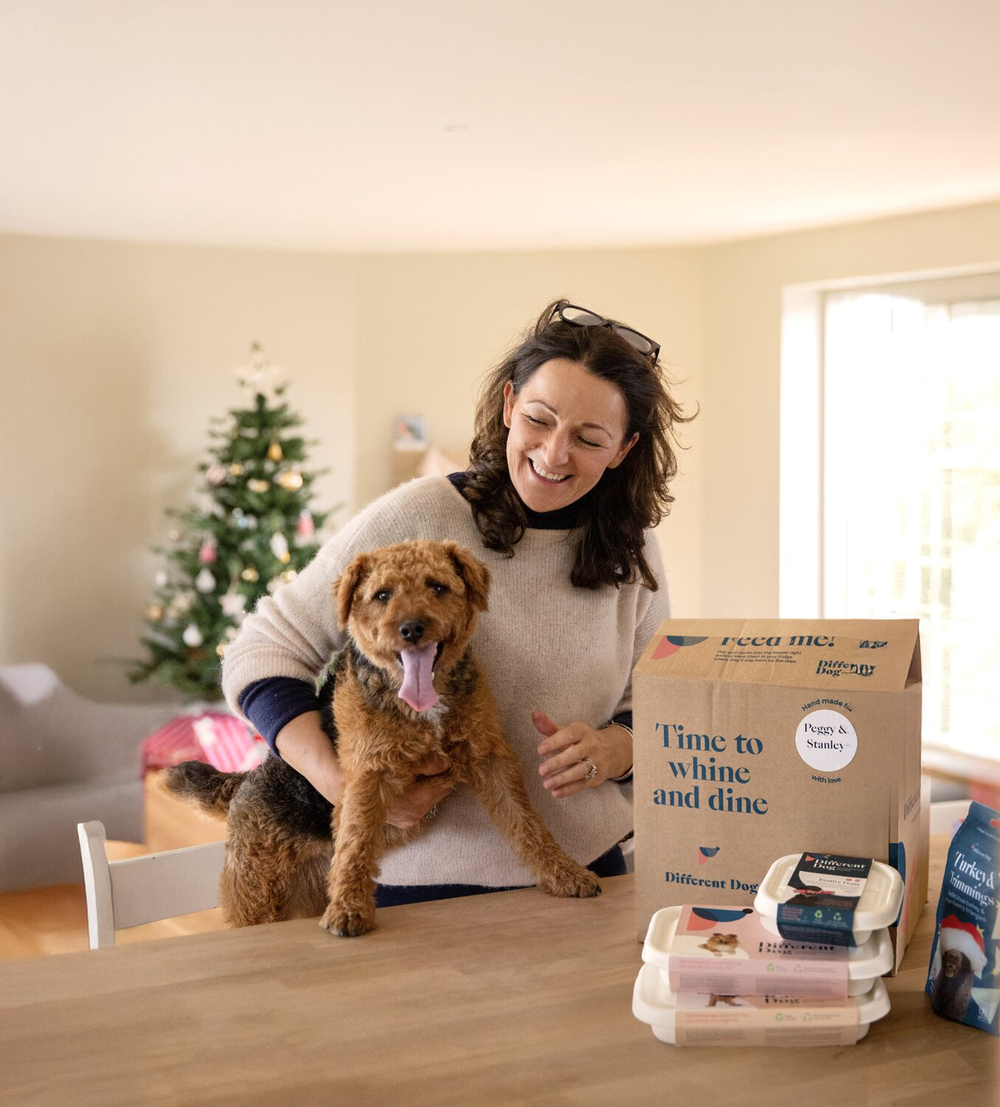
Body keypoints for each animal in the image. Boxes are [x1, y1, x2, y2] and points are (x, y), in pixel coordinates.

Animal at [165, 540, 602, 938]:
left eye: (437, 586)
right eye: (382, 595)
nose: (411, 629)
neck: (424, 709)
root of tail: (247, 780)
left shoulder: (487, 755)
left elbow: (526, 823)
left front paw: (567, 873)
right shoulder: (369, 772)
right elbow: (356, 841)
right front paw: (348, 911)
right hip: (258, 893)